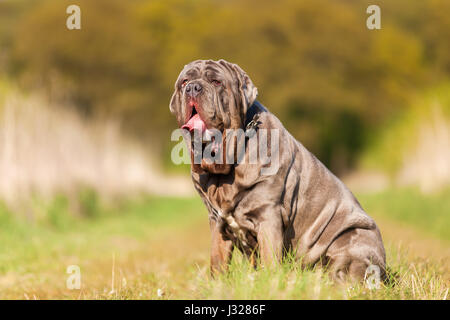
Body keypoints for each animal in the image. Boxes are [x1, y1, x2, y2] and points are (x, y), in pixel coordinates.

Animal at [170, 58, 386, 282]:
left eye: (216, 82)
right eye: (184, 81)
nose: (192, 88)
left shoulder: (268, 216)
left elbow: (269, 258)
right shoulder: (217, 222)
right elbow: (218, 260)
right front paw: (217, 284)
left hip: (353, 238)